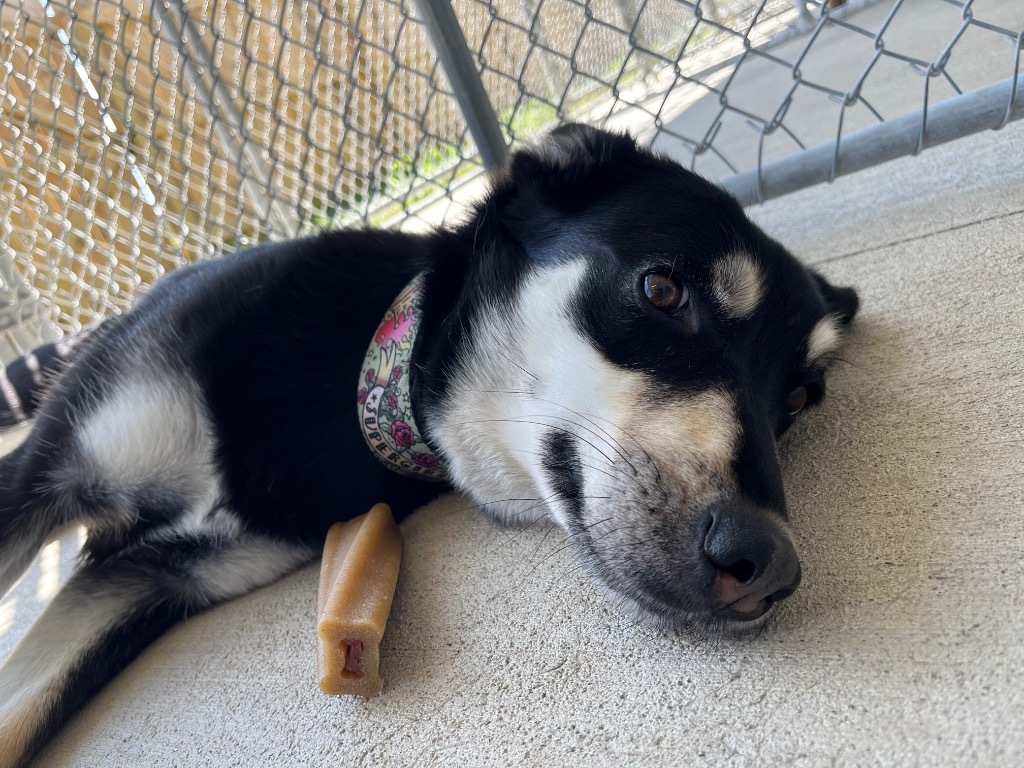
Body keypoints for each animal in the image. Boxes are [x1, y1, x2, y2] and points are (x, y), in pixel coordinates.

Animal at [0, 124, 860, 765]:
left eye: (794, 399)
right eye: (661, 289)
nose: (769, 565)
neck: (360, 386)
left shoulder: (146, 579)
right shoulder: (44, 474)